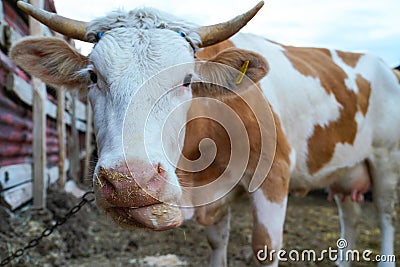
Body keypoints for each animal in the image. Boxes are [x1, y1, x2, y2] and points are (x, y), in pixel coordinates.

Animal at [10, 1, 400, 266]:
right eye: (93, 76)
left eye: (186, 80)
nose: (129, 182)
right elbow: (217, 243)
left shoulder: (275, 176)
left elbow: (265, 248)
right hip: (346, 169)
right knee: (350, 215)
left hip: (386, 162)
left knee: (384, 215)